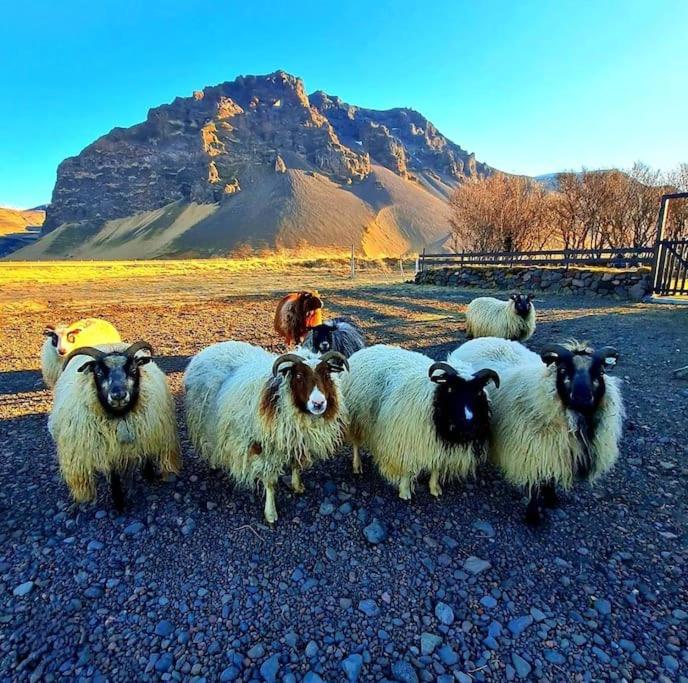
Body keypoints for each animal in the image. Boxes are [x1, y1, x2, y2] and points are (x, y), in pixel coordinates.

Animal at [49, 340, 181, 510]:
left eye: (133, 369)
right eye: (98, 372)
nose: (118, 395)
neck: (120, 416)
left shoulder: (145, 433)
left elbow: (147, 457)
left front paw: (150, 476)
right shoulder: (108, 449)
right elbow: (114, 477)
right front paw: (119, 503)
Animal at [340, 350, 498, 500]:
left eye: (478, 392)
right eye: (450, 389)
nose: (468, 424)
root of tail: (367, 349)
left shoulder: (437, 444)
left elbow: (436, 467)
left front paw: (434, 487)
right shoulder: (405, 441)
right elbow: (406, 469)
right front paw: (404, 491)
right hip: (356, 418)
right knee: (356, 443)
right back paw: (357, 465)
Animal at [448, 340, 628, 528]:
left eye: (600, 372)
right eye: (562, 370)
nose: (582, 398)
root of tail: (480, 339)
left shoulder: (554, 449)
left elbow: (550, 478)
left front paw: (551, 498)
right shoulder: (531, 450)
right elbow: (534, 485)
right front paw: (533, 516)